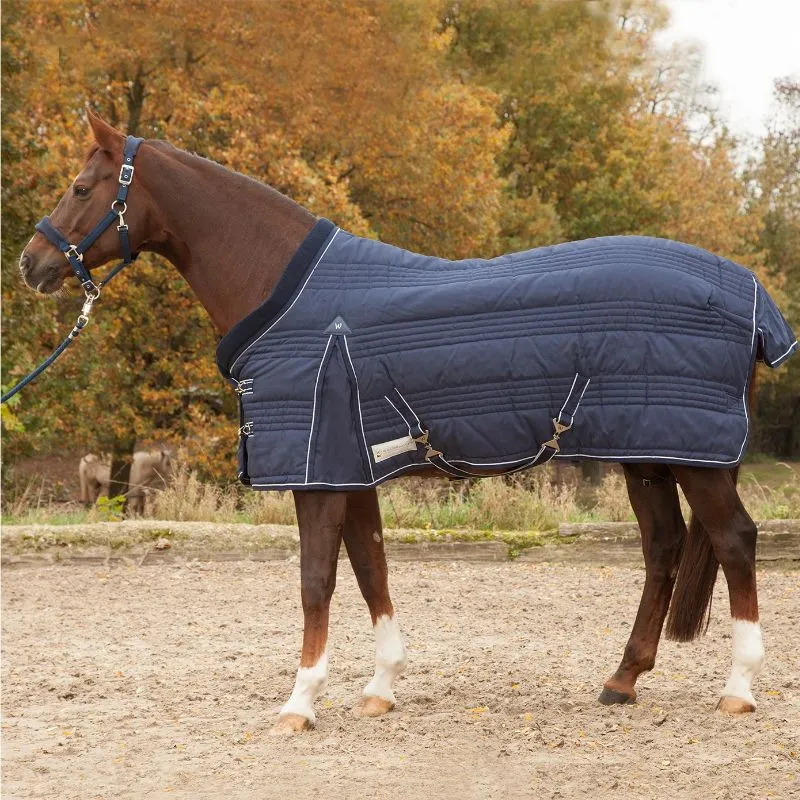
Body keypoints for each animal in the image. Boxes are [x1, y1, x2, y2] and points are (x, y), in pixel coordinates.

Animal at [18, 111, 789, 734]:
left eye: (81, 187)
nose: (32, 262)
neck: (290, 294)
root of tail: (749, 290)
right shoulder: (348, 470)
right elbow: (371, 568)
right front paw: (379, 689)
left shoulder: (319, 474)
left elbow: (317, 581)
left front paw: (300, 703)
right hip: (648, 455)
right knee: (664, 547)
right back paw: (622, 680)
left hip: (694, 460)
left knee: (735, 540)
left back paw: (739, 689)